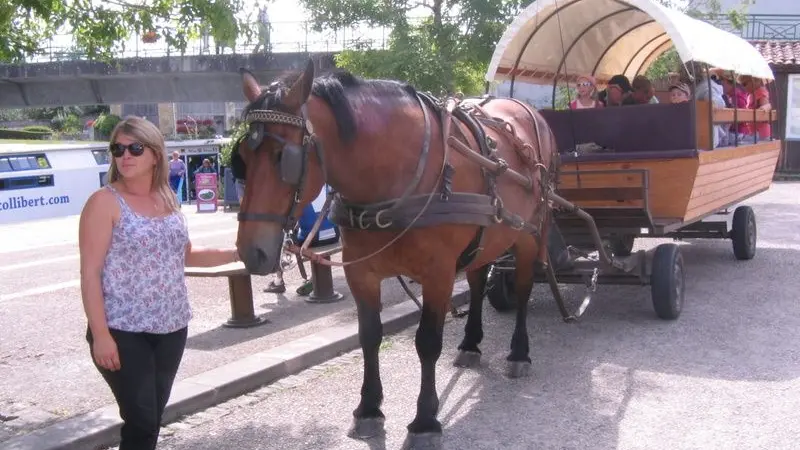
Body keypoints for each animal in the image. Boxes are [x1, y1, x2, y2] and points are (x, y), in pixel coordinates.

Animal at [231, 60, 556, 450]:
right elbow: (369, 335)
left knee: (522, 290)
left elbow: (427, 343)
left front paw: (425, 421)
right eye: (242, 159)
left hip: (528, 234)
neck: (395, 177)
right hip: (486, 236)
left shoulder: (438, 274)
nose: (252, 251)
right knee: (478, 281)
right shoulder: (362, 274)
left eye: (284, 158)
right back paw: (470, 344)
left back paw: (519, 352)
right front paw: (369, 409)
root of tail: (529, 112)